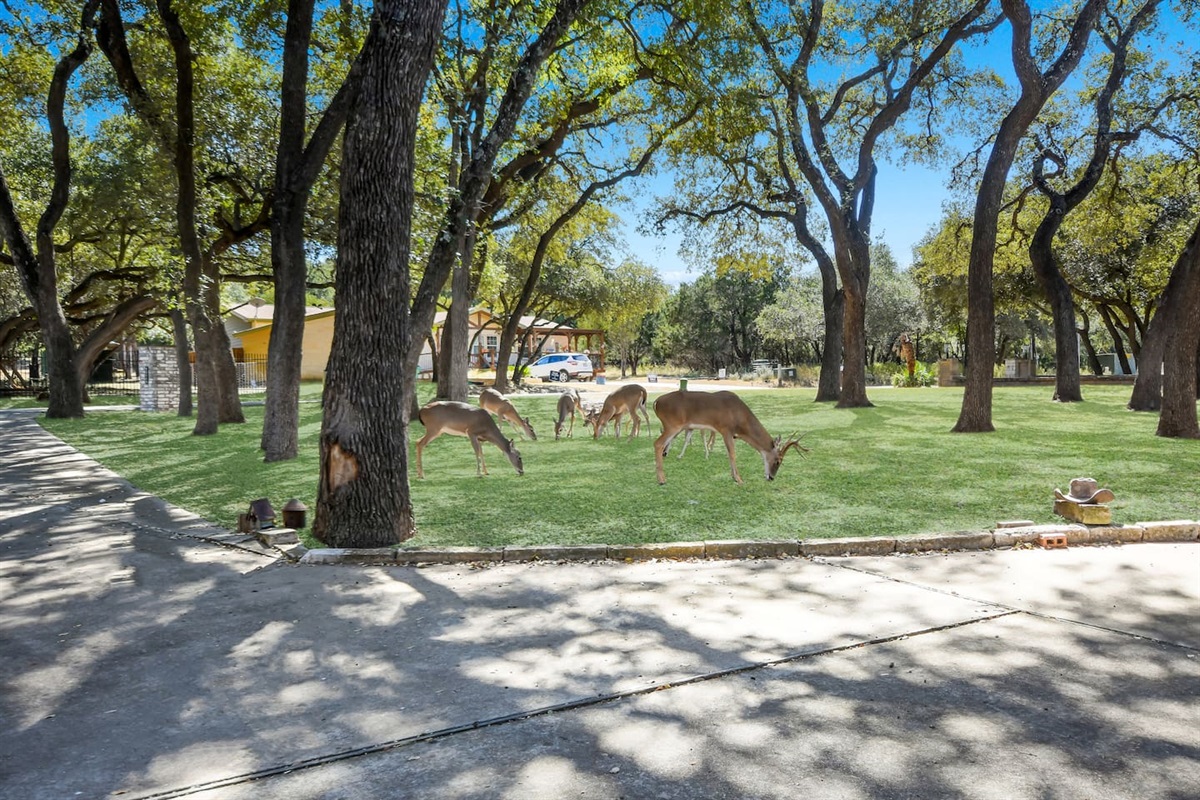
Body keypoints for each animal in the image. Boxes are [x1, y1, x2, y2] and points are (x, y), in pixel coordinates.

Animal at [652, 390, 808, 484]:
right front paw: (739, 479)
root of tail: (657, 402)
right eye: (778, 461)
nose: (771, 478)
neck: (740, 418)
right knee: (658, 443)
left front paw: (734, 477)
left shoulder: (728, 433)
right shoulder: (726, 429)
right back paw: (661, 480)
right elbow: (732, 454)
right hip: (673, 425)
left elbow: (729, 454)